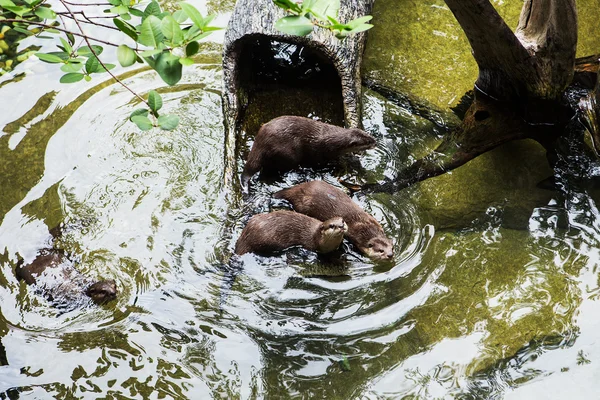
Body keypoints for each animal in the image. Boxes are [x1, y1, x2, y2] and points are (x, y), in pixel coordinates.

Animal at [240, 115, 376, 184]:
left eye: (368, 134)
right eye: (367, 142)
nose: (375, 141)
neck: (333, 139)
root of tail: (261, 142)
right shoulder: (323, 152)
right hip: (288, 154)